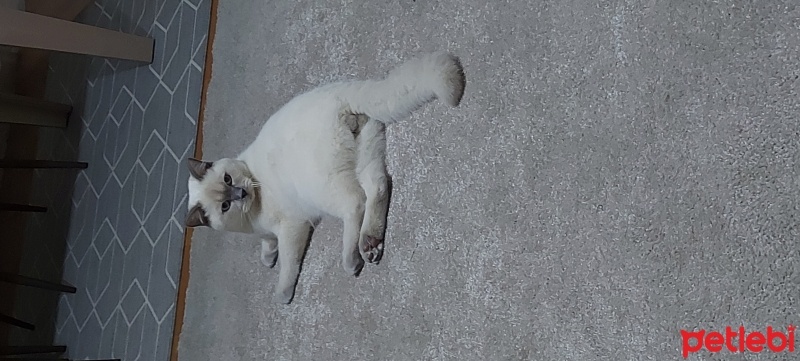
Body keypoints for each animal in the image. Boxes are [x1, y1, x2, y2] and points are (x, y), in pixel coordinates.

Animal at [184, 50, 466, 302]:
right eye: (225, 205)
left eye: (228, 180)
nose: (241, 192)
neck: (251, 215)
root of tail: (341, 94)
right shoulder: (268, 232)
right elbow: (268, 244)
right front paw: (267, 259)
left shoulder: (291, 228)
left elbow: (287, 266)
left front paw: (281, 296)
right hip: (367, 156)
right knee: (379, 187)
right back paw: (370, 244)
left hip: (324, 189)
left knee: (356, 203)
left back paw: (352, 261)